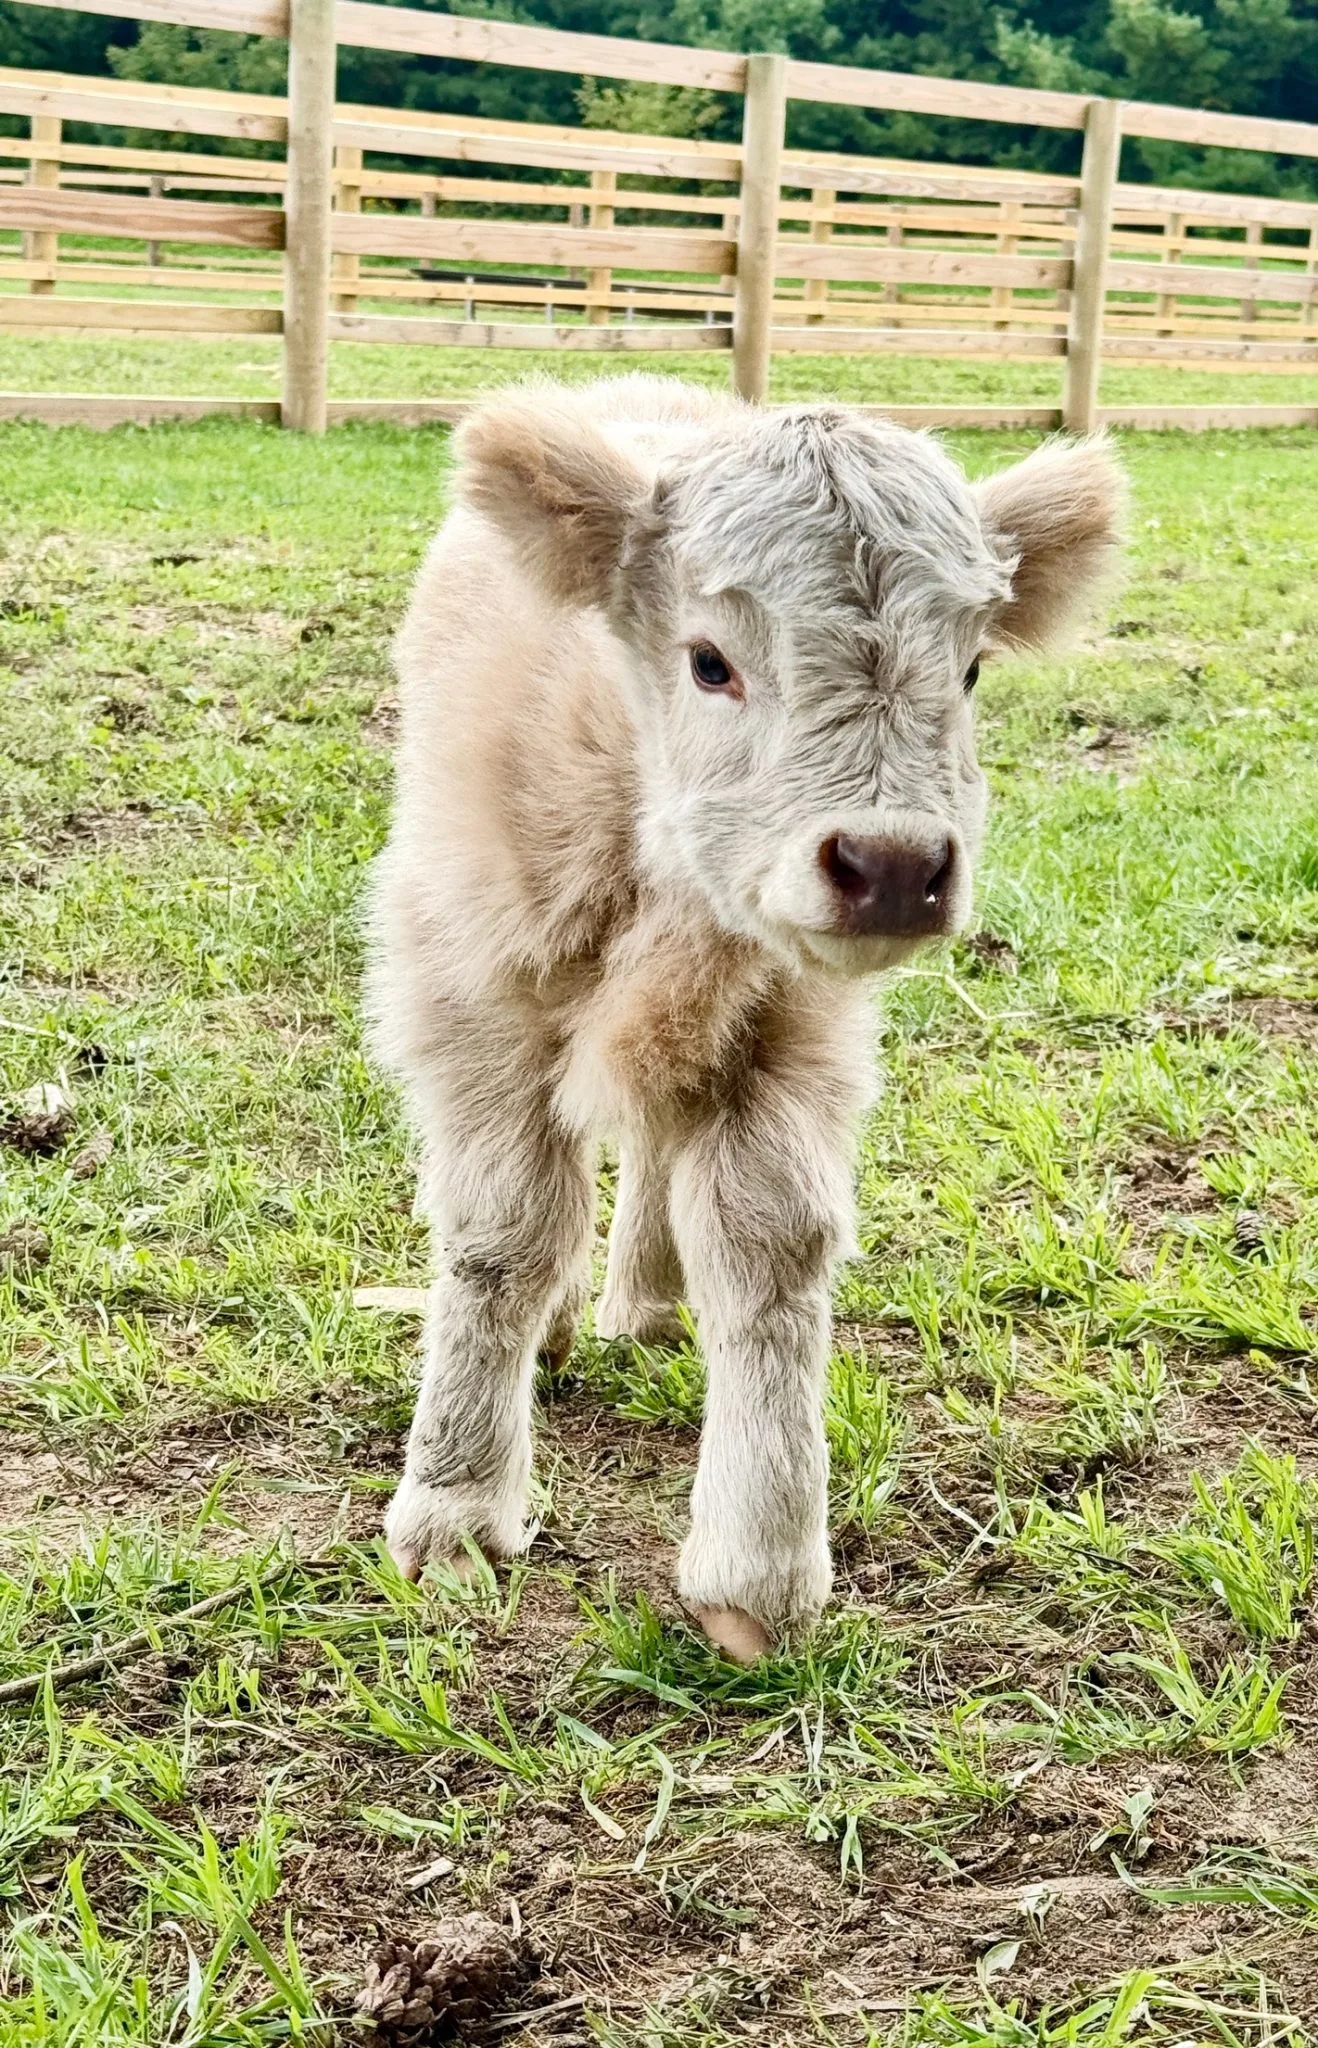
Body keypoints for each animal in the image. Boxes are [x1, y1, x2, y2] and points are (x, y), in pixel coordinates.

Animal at [367, 374, 1123, 1662]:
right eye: (709, 661)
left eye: (972, 668)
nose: (892, 865)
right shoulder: (468, 993)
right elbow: (502, 1235)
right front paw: (456, 1509)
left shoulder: (790, 1030)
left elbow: (767, 1246)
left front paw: (756, 1570)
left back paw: (646, 1307)